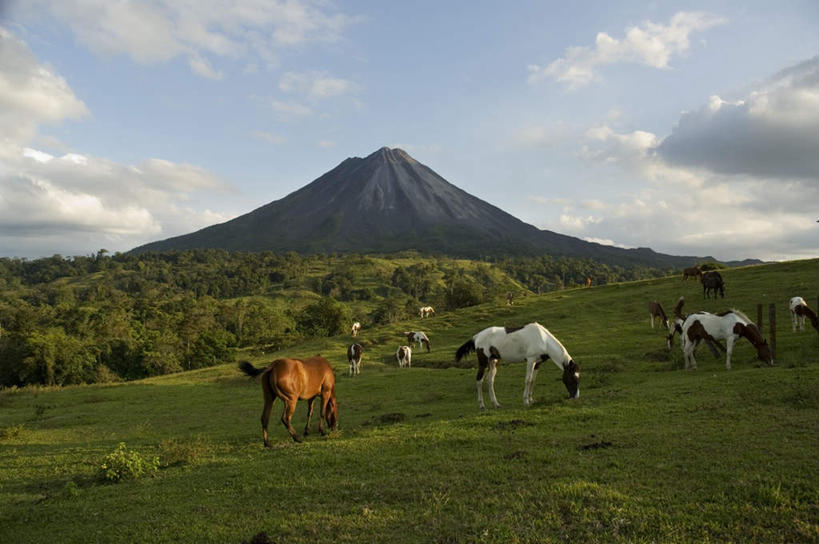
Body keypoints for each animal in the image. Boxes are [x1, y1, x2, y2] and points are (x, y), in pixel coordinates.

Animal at [454, 324, 584, 408]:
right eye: (572, 378)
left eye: (578, 378)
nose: (575, 397)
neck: (543, 339)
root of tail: (476, 337)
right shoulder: (530, 360)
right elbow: (527, 380)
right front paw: (526, 402)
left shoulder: (538, 363)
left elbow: (533, 380)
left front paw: (531, 400)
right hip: (483, 362)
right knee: (479, 380)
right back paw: (481, 405)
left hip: (493, 362)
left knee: (489, 380)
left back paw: (496, 404)